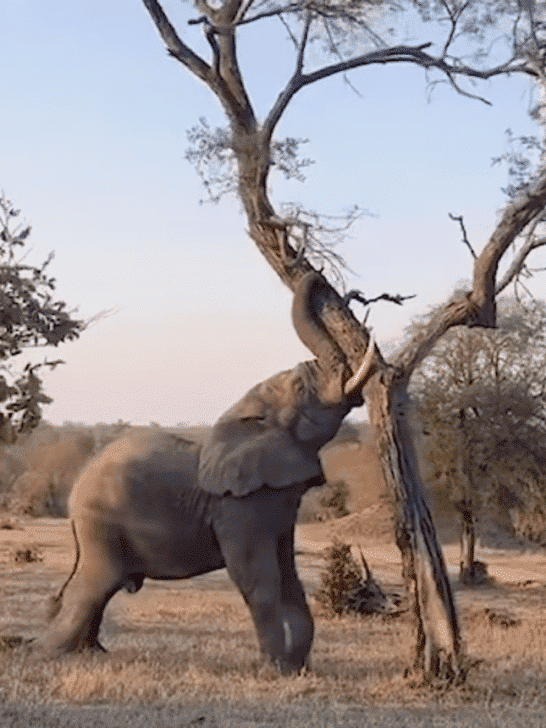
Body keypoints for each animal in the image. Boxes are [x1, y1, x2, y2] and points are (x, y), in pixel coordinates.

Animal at [33, 272, 374, 673]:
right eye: (300, 387)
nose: (326, 279)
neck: (251, 420)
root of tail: (75, 493)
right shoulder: (238, 506)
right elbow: (255, 577)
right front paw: (272, 670)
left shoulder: (278, 506)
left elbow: (288, 574)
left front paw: (296, 670)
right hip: (101, 525)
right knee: (93, 585)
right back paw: (50, 652)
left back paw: (89, 652)